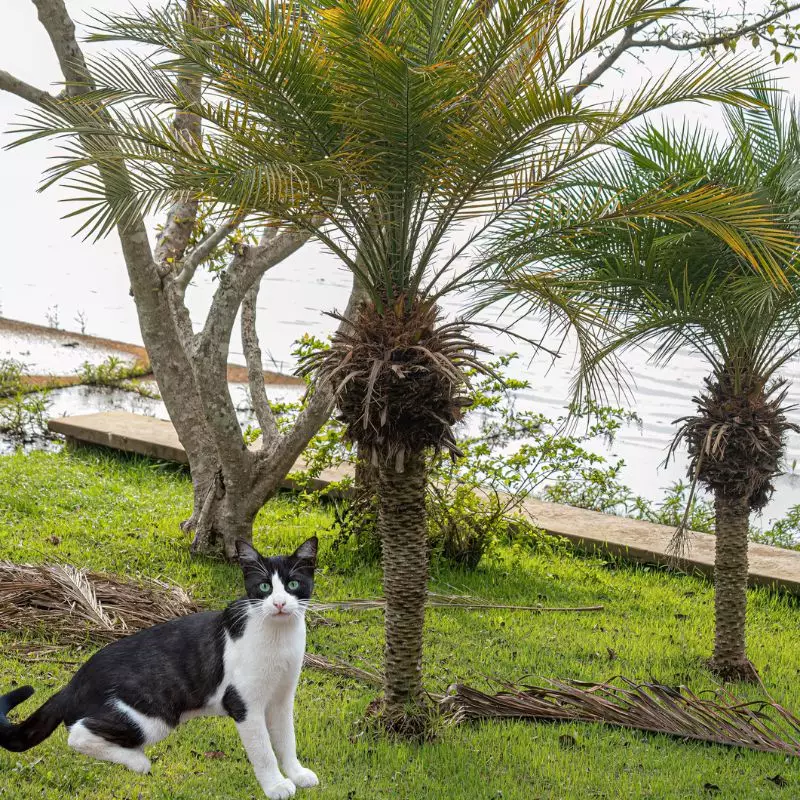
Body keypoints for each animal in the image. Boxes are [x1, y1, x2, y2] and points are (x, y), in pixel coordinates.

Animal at [0, 536, 318, 800]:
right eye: (264, 587)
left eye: (292, 585)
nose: (279, 603)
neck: (278, 637)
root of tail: (73, 684)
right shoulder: (243, 703)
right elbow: (263, 750)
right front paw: (275, 786)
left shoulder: (282, 699)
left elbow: (286, 739)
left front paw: (296, 774)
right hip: (153, 718)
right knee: (77, 733)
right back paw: (137, 760)